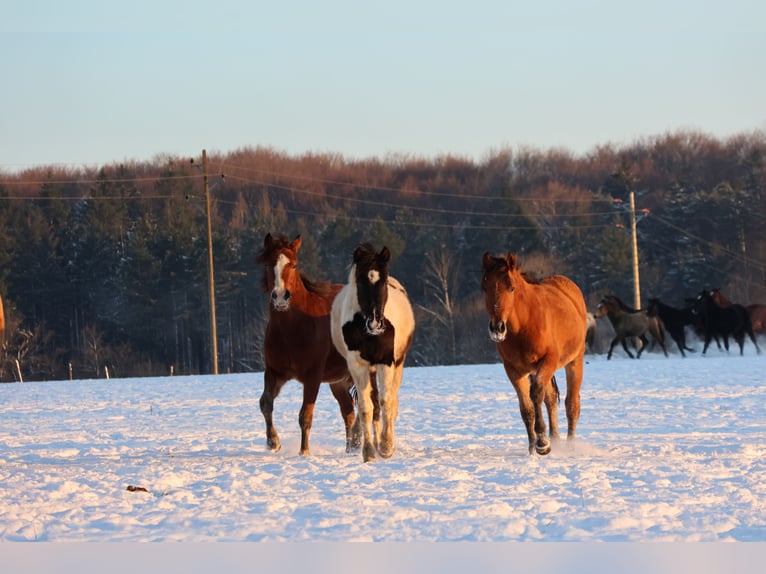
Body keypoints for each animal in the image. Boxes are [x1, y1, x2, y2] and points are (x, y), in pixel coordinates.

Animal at [256, 233, 359, 455]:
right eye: (268, 264)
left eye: (294, 265)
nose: (280, 296)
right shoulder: (274, 372)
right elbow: (265, 403)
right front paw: (273, 441)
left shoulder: (313, 376)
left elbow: (305, 415)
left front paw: (304, 452)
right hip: (338, 381)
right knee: (349, 411)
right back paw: (352, 447)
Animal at [331, 243, 415, 462]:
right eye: (361, 281)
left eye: (383, 281)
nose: (376, 324)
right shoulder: (358, 366)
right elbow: (366, 407)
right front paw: (369, 451)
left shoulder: (386, 362)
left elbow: (386, 401)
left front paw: (386, 447)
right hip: (370, 370)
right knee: (374, 403)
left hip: (398, 365)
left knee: (391, 400)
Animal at [481, 251, 587, 456]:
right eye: (484, 288)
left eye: (511, 288)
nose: (497, 328)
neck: (524, 324)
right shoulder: (514, 370)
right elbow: (527, 408)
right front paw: (533, 447)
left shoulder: (548, 361)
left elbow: (536, 393)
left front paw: (542, 443)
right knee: (551, 399)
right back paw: (555, 439)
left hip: (574, 361)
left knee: (572, 405)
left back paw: (569, 446)